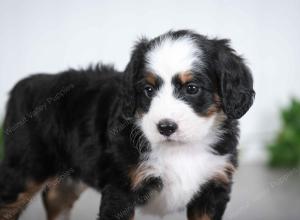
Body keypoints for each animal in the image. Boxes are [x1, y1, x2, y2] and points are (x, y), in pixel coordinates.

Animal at [0, 29, 254, 220]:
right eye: (148, 90)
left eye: (192, 88)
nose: (165, 127)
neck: (181, 149)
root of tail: (25, 83)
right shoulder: (121, 189)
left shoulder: (213, 187)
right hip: (24, 171)